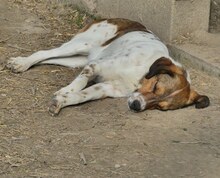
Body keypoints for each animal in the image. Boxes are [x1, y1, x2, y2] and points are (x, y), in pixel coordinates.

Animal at [6, 17, 210, 115]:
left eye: (160, 107)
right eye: (155, 86)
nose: (136, 106)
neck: (140, 76)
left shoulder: (105, 88)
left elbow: (82, 96)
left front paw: (63, 100)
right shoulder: (94, 66)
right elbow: (79, 84)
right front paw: (65, 91)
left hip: (77, 59)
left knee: (47, 59)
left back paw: (20, 63)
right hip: (81, 45)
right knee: (44, 53)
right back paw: (22, 62)